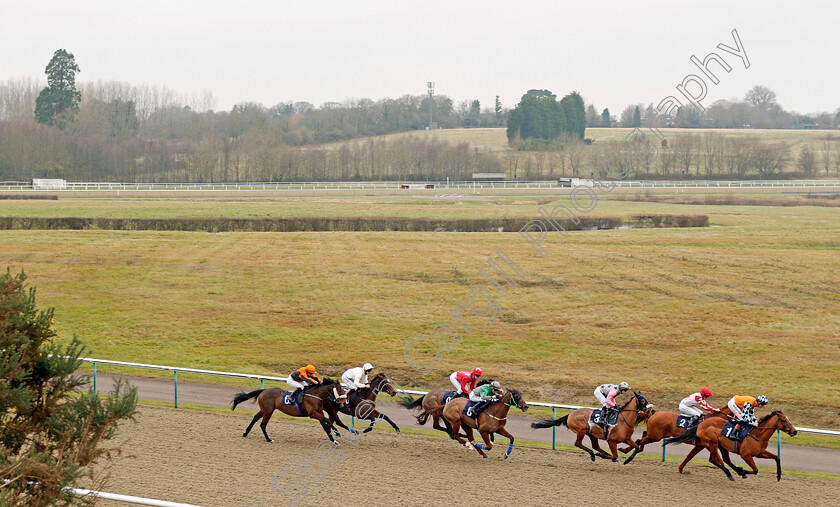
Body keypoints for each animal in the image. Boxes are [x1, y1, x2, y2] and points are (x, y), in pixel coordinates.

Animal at [668, 410, 796, 482]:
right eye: (784, 420)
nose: (794, 431)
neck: (757, 435)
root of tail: (701, 424)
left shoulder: (760, 453)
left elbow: (777, 457)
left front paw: (779, 476)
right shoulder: (745, 455)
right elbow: (755, 470)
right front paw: (743, 471)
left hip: (720, 446)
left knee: (721, 459)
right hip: (712, 442)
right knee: (715, 459)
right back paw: (731, 474)